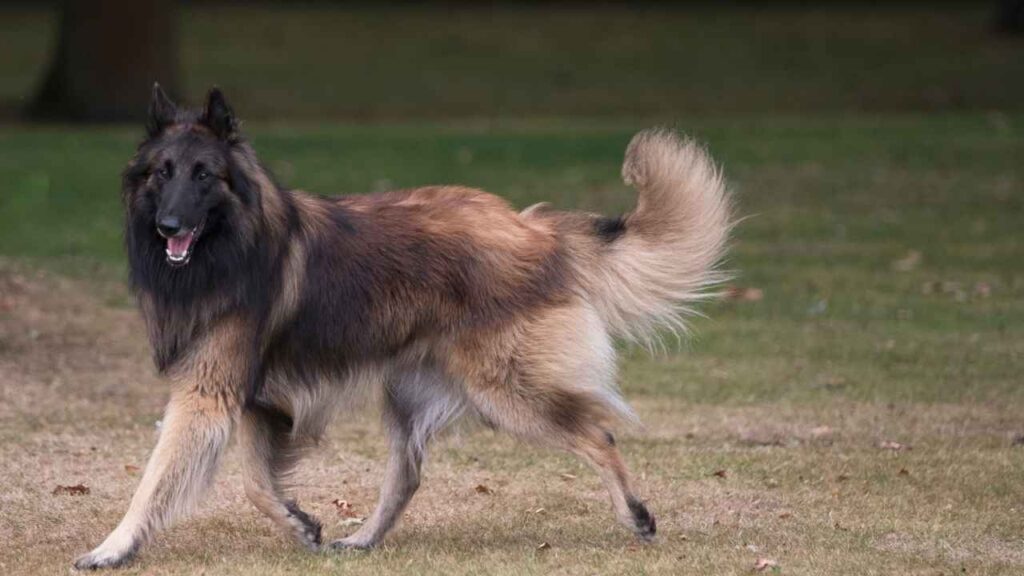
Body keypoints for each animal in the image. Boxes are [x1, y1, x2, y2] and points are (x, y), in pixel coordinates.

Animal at [74, 84, 729, 565]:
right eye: (161, 172)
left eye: (204, 174)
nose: (168, 225)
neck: (232, 242)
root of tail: (533, 228)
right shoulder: (258, 398)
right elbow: (258, 484)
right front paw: (300, 523)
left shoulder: (208, 394)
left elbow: (157, 479)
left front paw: (112, 547)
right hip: (408, 392)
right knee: (407, 476)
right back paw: (362, 538)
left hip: (506, 390)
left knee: (598, 434)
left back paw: (636, 514)